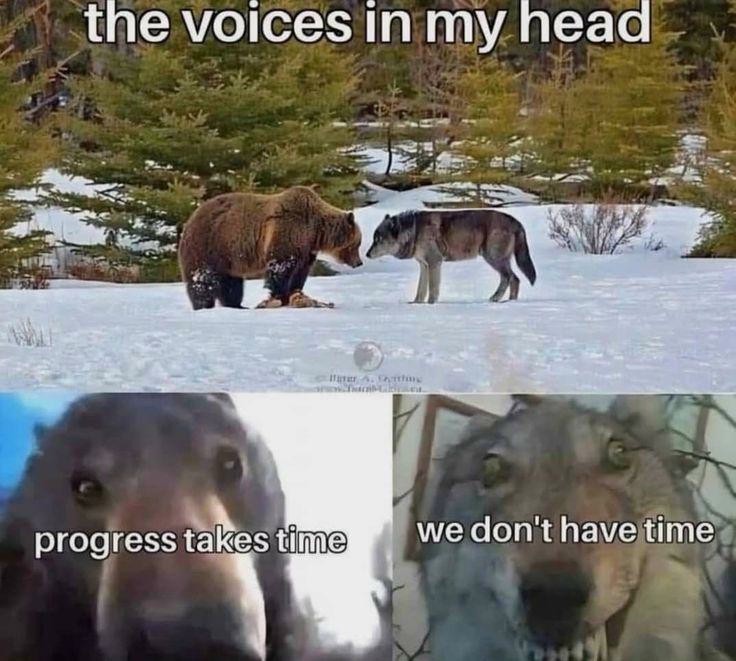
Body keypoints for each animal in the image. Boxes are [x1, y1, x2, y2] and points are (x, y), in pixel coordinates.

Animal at [178, 186, 363, 311]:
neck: (315, 230)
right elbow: (280, 266)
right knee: (202, 279)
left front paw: (295, 294)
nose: (359, 262)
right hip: (209, 244)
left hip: (228, 258)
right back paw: (204, 305)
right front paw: (278, 296)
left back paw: (237, 305)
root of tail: (190, 218)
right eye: (358, 243)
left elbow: (300, 272)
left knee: (232, 283)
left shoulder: (306, 248)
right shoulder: (289, 230)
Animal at [366, 209, 537, 304]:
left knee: (510, 278)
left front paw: (431, 304)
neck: (415, 231)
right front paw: (416, 304)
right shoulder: (424, 265)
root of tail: (516, 222)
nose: (367, 254)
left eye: (378, 240)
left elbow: (433, 289)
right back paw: (509, 301)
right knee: (515, 279)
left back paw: (497, 299)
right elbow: (421, 290)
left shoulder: (434, 262)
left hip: (493, 258)